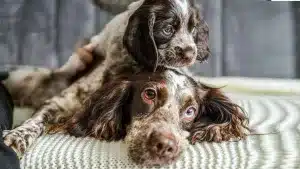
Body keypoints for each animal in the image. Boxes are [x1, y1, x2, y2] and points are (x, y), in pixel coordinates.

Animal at [2, 0, 213, 158]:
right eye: (167, 29)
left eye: (193, 30)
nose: (190, 53)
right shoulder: (58, 103)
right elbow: (35, 121)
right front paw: (16, 137)